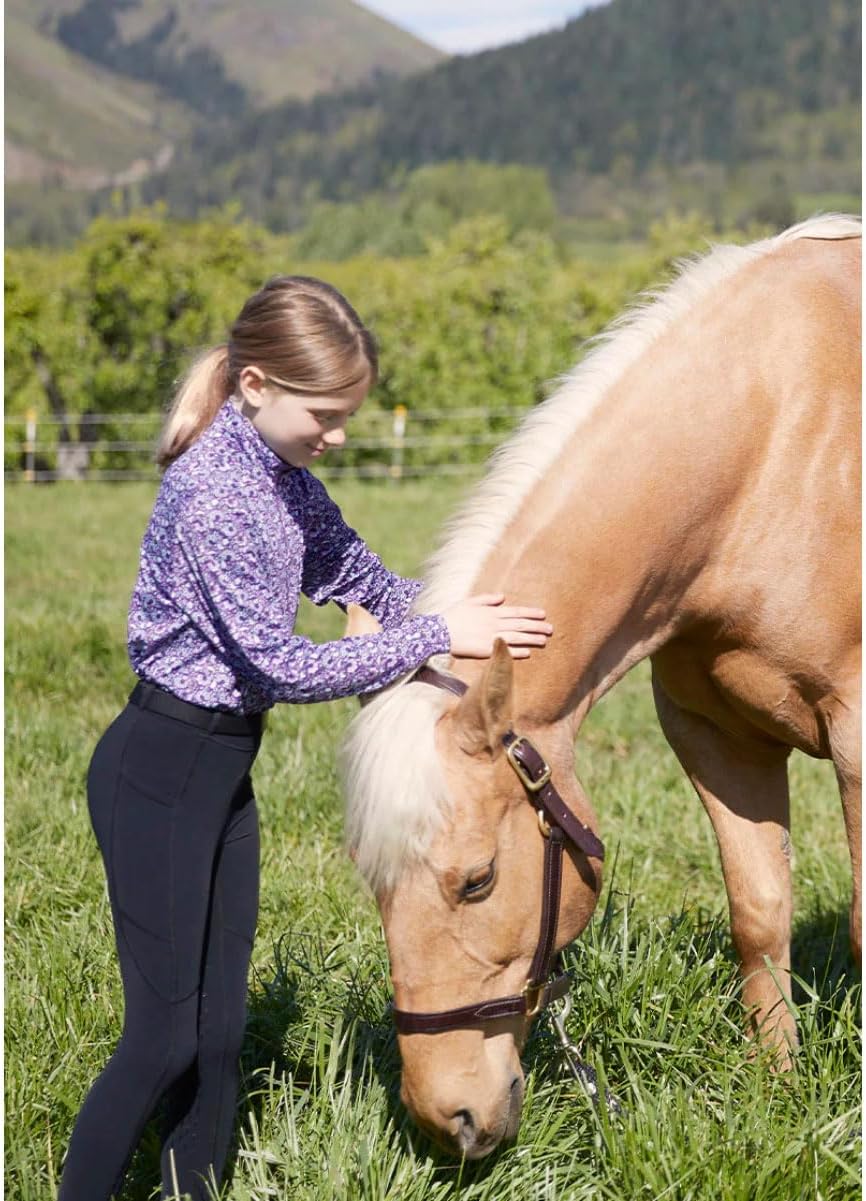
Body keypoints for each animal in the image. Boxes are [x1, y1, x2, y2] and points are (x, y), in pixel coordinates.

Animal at [340, 214, 862, 1159]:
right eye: (373, 881)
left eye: (477, 881)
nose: (447, 1119)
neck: (780, 449)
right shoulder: (714, 736)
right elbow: (760, 915)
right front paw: (779, 1086)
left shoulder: (859, 736)